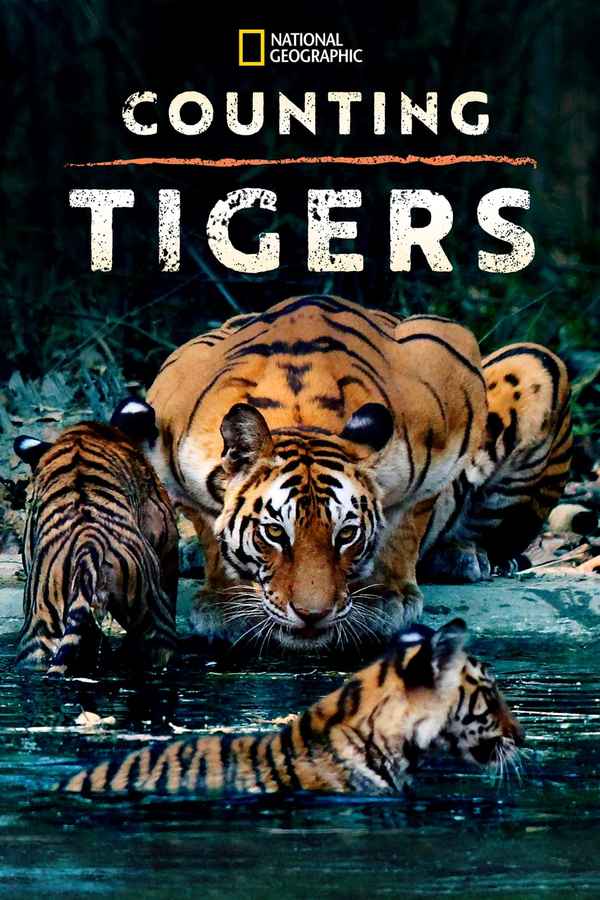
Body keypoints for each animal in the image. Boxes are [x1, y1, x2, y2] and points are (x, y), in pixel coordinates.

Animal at [145, 294, 571, 651]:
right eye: (274, 533)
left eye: (346, 534)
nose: (312, 616)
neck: (301, 417)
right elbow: (208, 526)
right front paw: (224, 604)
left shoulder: (447, 372)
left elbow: (408, 521)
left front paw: (387, 598)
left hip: (537, 361)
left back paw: (462, 557)